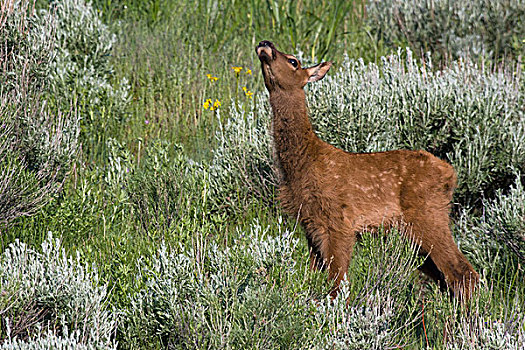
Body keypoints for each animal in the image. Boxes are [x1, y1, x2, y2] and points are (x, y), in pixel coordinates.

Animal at [255, 40, 478, 298]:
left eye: (293, 61)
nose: (265, 44)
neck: (303, 164)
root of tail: (450, 174)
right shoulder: (309, 225)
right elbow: (313, 278)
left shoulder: (339, 220)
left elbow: (337, 282)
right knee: (446, 278)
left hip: (428, 215)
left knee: (463, 272)